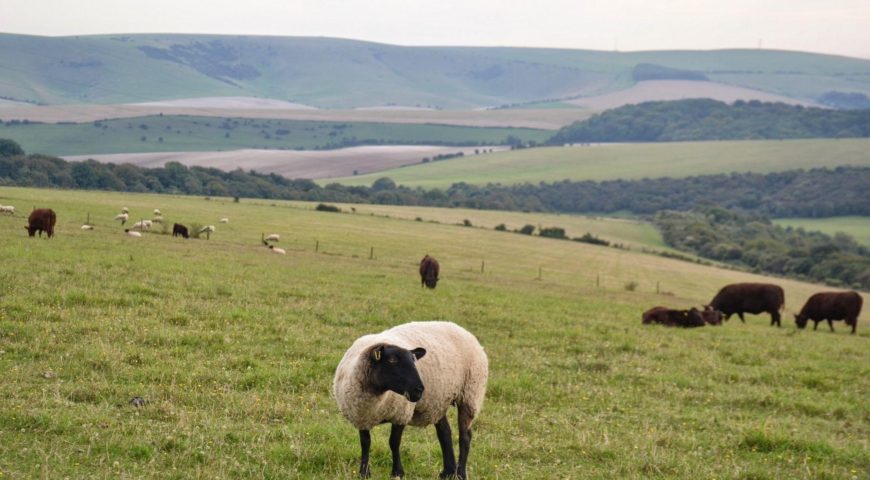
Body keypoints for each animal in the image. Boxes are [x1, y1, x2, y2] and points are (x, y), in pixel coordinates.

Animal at [334, 320, 488, 478]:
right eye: (392, 360)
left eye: (414, 361)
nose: (419, 389)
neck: (377, 397)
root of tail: (460, 328)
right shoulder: (361, 415)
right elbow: (365, 443)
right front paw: (364, 473)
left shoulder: (401, 414)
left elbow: (394, 442)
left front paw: (397, 472)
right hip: (439, 401)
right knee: (445, 433)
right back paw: (447, 472)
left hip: (470, 395)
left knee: (465, 436)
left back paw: (460, 473)